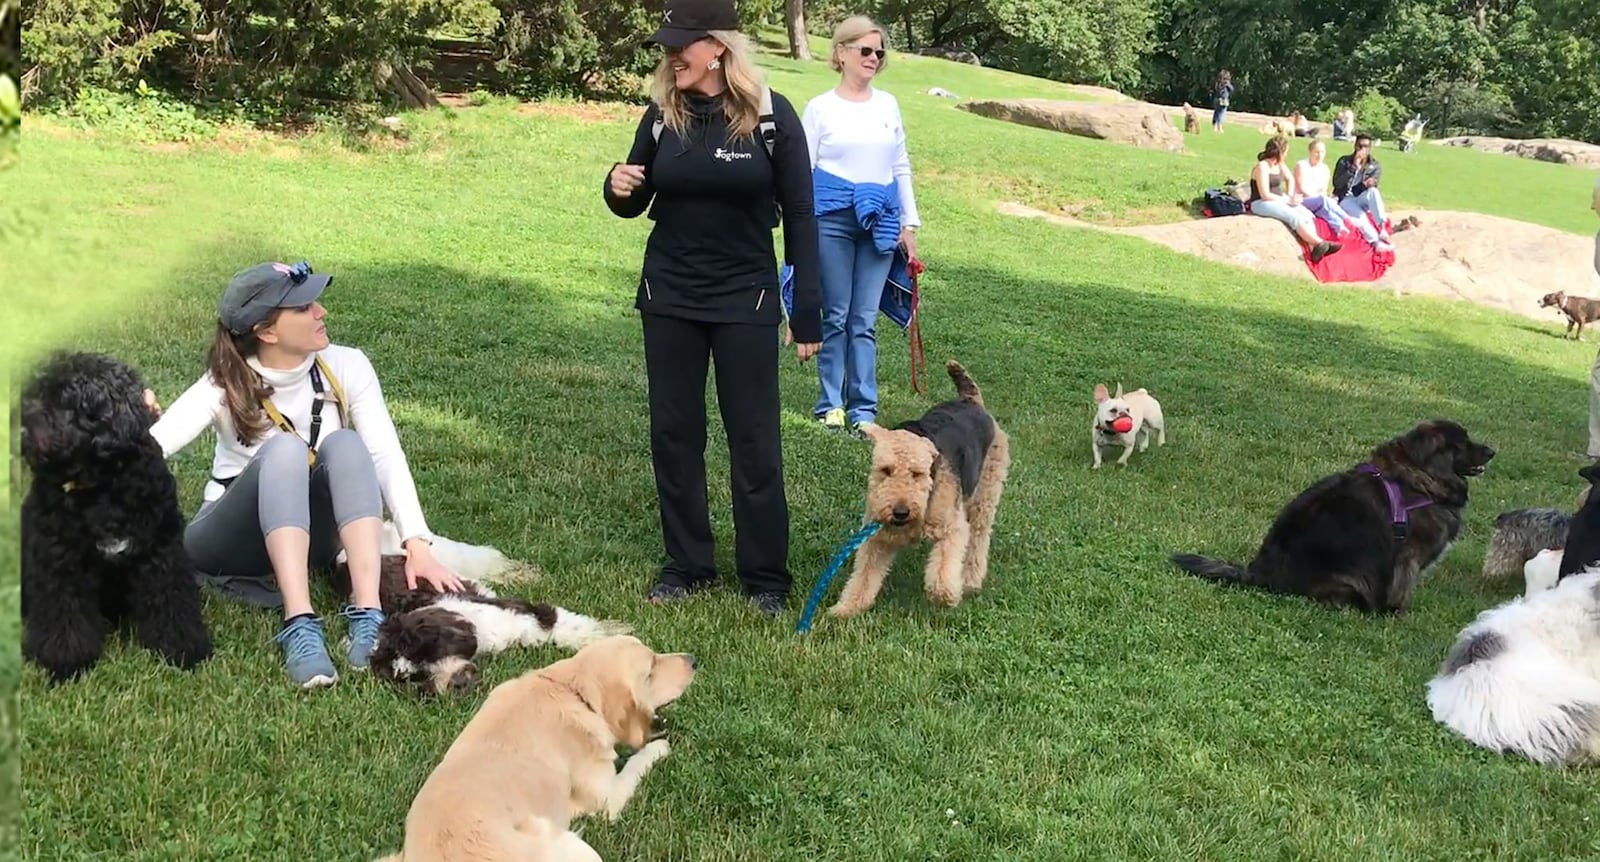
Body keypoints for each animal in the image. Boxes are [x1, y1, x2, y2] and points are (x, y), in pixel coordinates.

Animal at [19, 350, 212, 681]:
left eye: (65, 399)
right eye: (35, 394)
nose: (22, 431)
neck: (101, 485)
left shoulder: (159, 553)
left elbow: (170, 604)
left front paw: (181, 649)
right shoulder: (60, 561)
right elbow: (64, 615)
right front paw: (65, 661)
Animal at [1171, 419, 1491, 614]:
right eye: (1463, 443)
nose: (1492, 450)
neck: (1421, 475)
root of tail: (1259, 572)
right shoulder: (1408, 558)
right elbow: (1400, 588)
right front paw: (1396, 614)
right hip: (1353, 576)